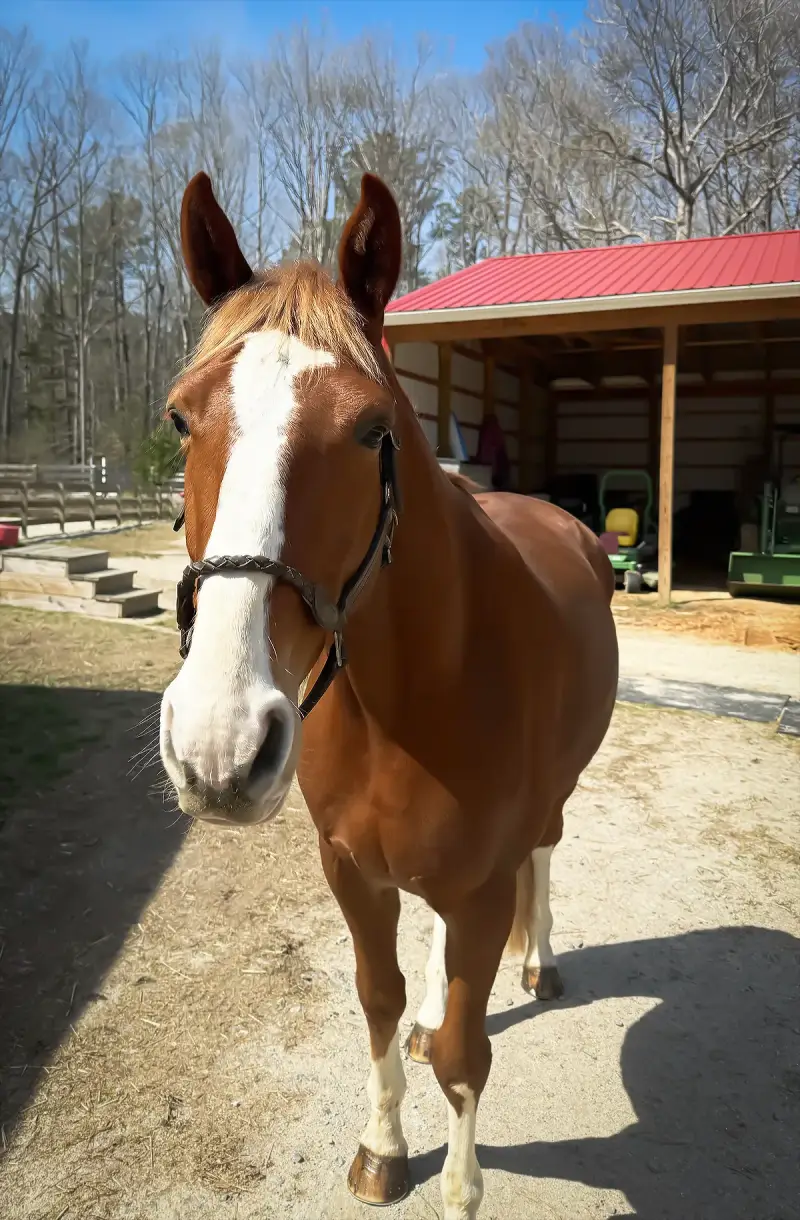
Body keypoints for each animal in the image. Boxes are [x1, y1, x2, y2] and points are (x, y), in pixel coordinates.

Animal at [159, 170, 618, 1219]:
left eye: (372, 428)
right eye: (179, 419)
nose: (217, 745)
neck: (415, 696)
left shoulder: (482, 891)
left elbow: (464, 1055)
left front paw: (460, 1187)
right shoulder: (353, 874)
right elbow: (381, 1003)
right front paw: (382, 1148)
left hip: (550, 811)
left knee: (544, 856)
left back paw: (542, 963)